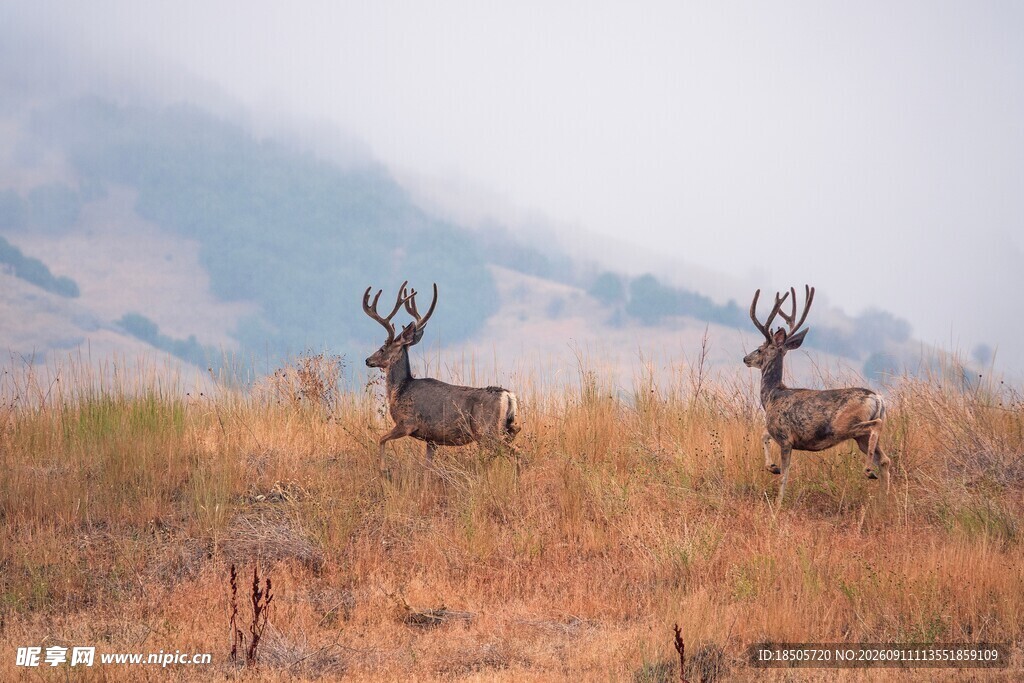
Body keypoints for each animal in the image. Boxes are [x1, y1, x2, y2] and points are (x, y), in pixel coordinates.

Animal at [362, 281, 520, 471]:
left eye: (382, 348)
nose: (368, 360)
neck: (400, 389)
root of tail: (508, 395)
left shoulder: (407, 423)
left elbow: (381, 439)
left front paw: (384, 469)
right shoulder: (432, 439)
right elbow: (427, 467)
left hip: (486, 430)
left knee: (516, 452)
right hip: (503, 427)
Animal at [744, 285, 890, 505]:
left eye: (759, 349)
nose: (745, 358)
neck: (771, 397)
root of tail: (877, 398)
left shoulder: (785, 437)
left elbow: (785, 472)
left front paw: (778, 502)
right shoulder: (780, 432)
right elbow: (764, 435)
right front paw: (772, 467)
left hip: (845, 425)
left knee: (877, 427)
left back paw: (868, 471)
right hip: (860, 437)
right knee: (885, 460)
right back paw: (883, 501)